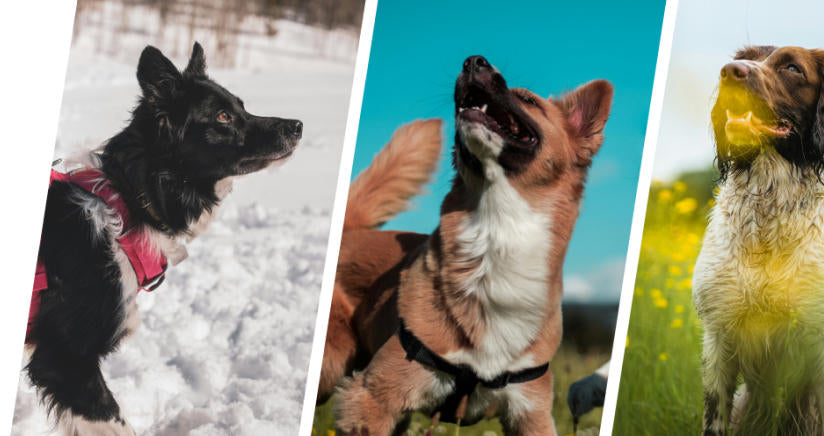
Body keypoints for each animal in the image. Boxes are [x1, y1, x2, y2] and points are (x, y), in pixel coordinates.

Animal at [320, 56, 612, 434]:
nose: (474, 61)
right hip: (333, 363)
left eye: (528, 100)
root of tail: (352, 229)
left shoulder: (531, 412)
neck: (496, 235)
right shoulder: (371, 398)